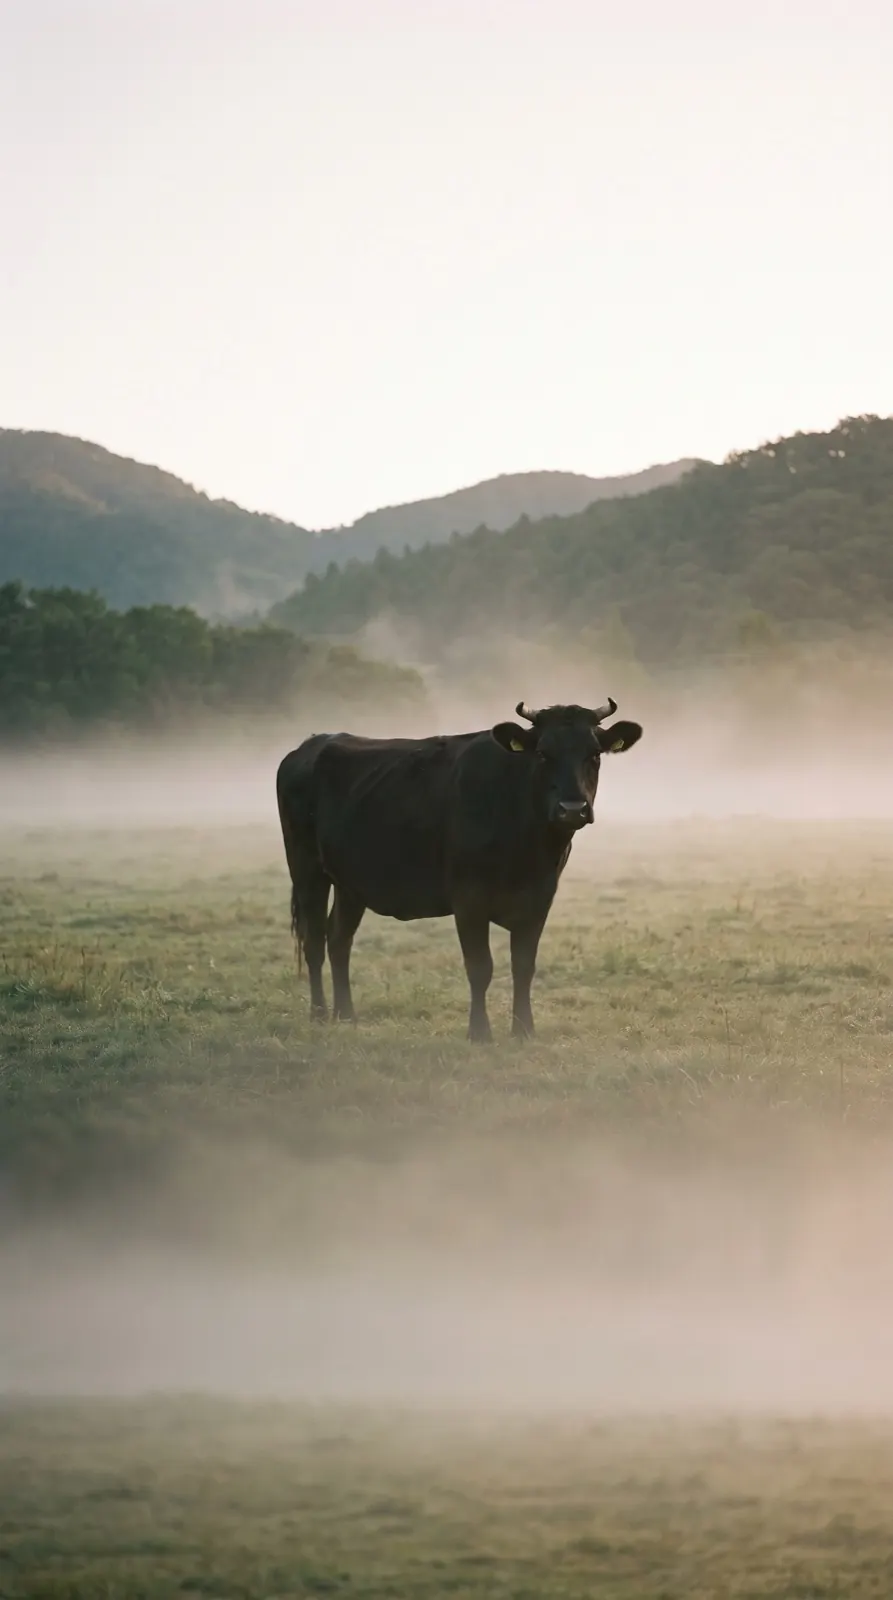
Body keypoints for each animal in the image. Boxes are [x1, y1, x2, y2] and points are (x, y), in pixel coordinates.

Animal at [276, 698, 643, 1042]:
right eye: (542, 753)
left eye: (594, 754)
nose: (572, 809)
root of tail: (312, 743)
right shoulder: (468, 898)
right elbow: (480, 967)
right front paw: (479, 1032)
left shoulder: (540, 898)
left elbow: (524, 966)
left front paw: (523, 1030)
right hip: (306, 869)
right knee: (314, 941)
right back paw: (319, 1014)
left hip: (350, 884)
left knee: (339, 940)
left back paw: (346, 1015)